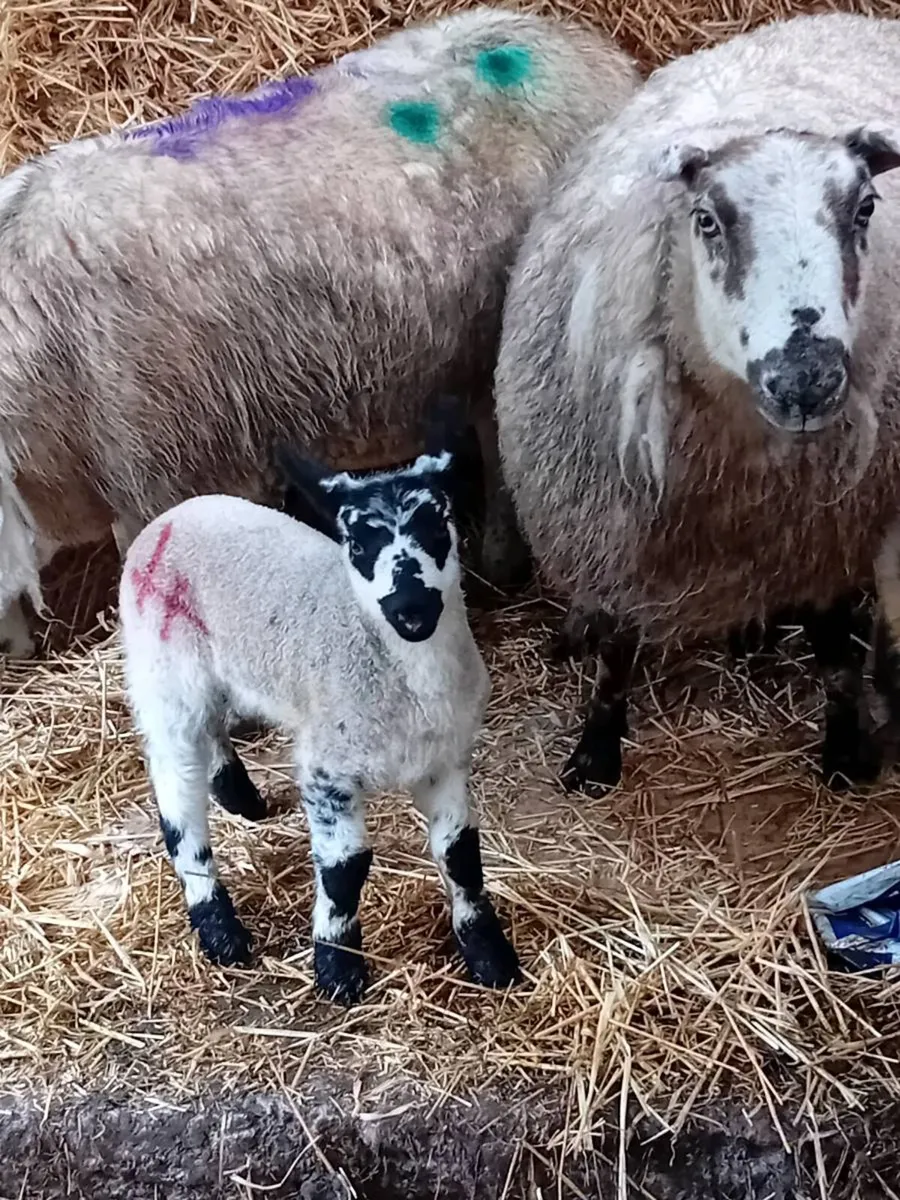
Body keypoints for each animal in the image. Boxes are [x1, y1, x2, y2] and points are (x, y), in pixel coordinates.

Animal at [117, 430, 520, 1004]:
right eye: (359, 543)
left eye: (435, 524)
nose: (411, 607)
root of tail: (171, 516)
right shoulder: (328, 772)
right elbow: (345, 869)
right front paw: (337, 967)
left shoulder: (445, 760)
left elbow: (460, 854)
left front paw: (490, 954)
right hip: (164, 669)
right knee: (177, 792)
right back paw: (219, 929)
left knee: (213, 731)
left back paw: (241, 797)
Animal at [494, 11, 900, 796]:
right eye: (707, 219)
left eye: (866, 207)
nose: (806, 377)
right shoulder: (612, 530)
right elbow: (615, 649)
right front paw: (595, 754)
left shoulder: (830, 534)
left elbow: (836, 652)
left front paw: (843, 752)